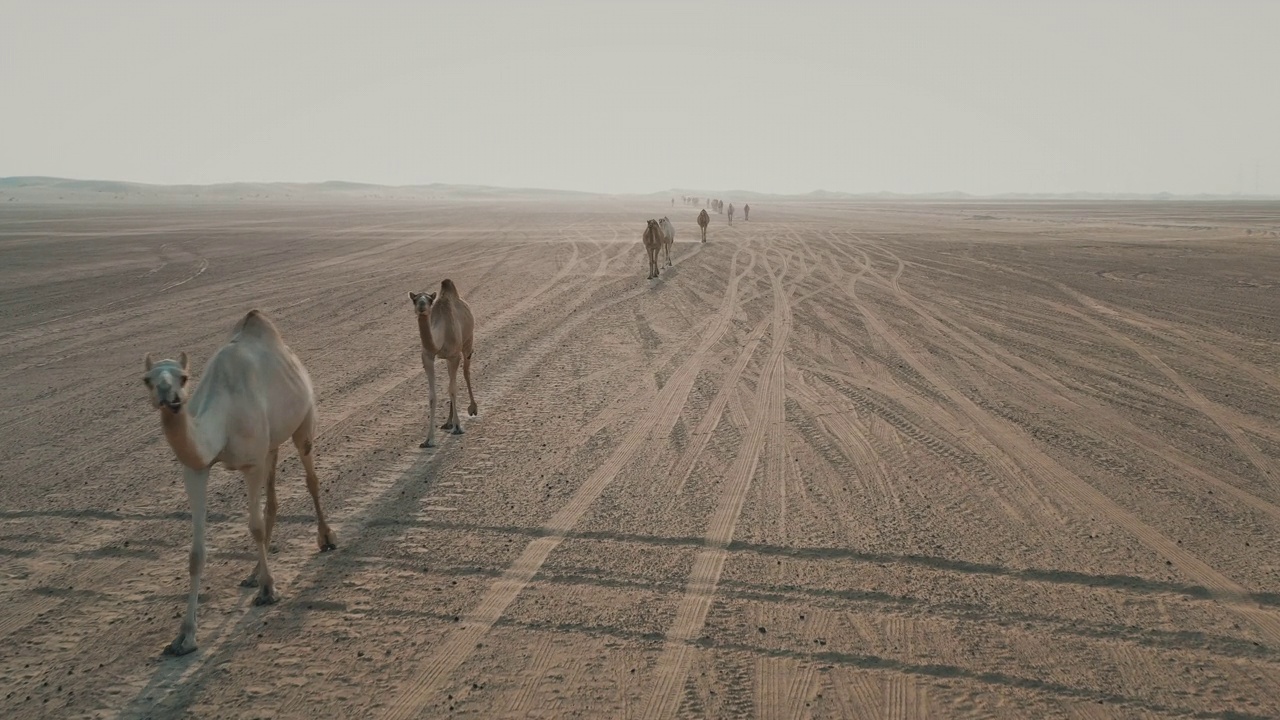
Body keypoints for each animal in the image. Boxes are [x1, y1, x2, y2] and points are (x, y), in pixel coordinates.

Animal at [142, 304, 337, 653]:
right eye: (147, 380)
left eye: (183, 377)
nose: (169, 396)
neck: (221, 420)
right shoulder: (196, 468)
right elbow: (196, 553)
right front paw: (185, 636)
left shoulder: (251, 463)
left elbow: (255, 527)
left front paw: (268, 591)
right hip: (270, 444)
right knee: (273, 499)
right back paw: (253, 572)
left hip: (304, 422)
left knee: (311, 478)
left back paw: (326, 538)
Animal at [407, 278, 478, 445]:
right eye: (415, 299)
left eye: (429, 299)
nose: (421, 306)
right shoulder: (427, 357)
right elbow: (433, 396)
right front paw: (428, 439)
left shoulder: (454, 356)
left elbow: (453, 389)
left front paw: (458, 427)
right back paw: (448, 422)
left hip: (467, 342)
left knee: (466, 372)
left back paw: (472, 408)